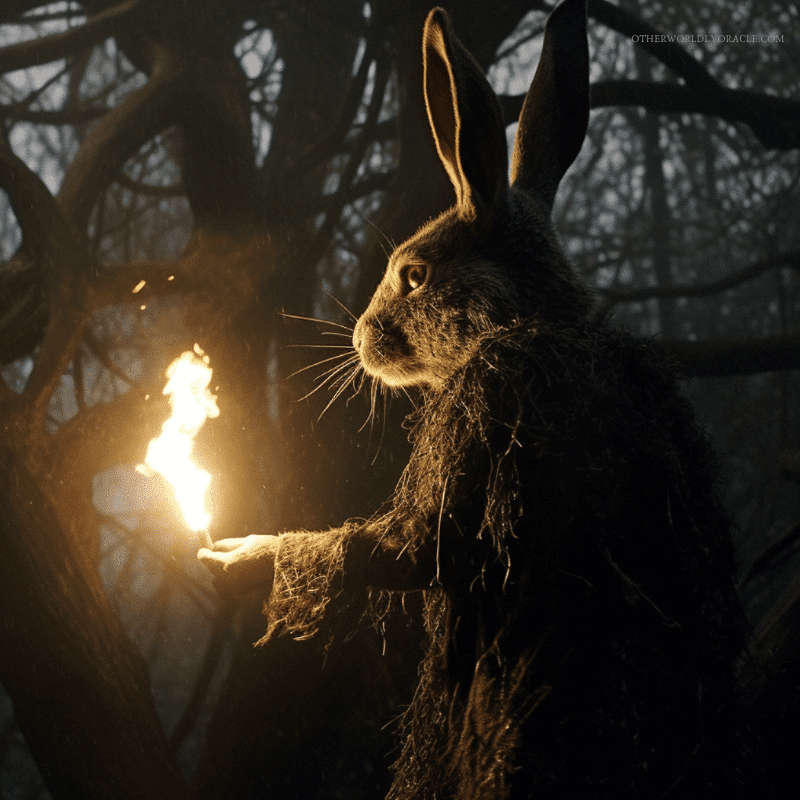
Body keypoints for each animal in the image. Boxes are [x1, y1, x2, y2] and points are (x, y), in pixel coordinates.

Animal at [200, 0, 748, 796]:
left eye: (415, 275)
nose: (362, 338)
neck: (532, 320)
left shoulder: (486, 412)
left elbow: (415, 547)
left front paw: (249, 555)